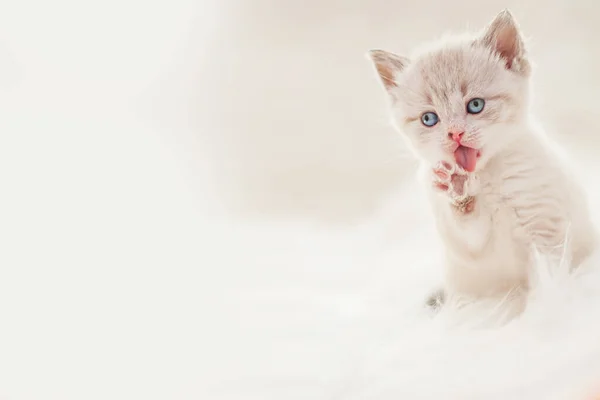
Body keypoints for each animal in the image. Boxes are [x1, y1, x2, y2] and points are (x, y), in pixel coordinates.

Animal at [368, 9, 596, 304]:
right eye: (429, 119)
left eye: (475, 105)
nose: (455, 133)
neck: (485, 177)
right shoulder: (469, 245)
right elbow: (469, 230)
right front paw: (458, 188)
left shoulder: (546, 225)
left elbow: (552, 273)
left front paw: (549, 303)